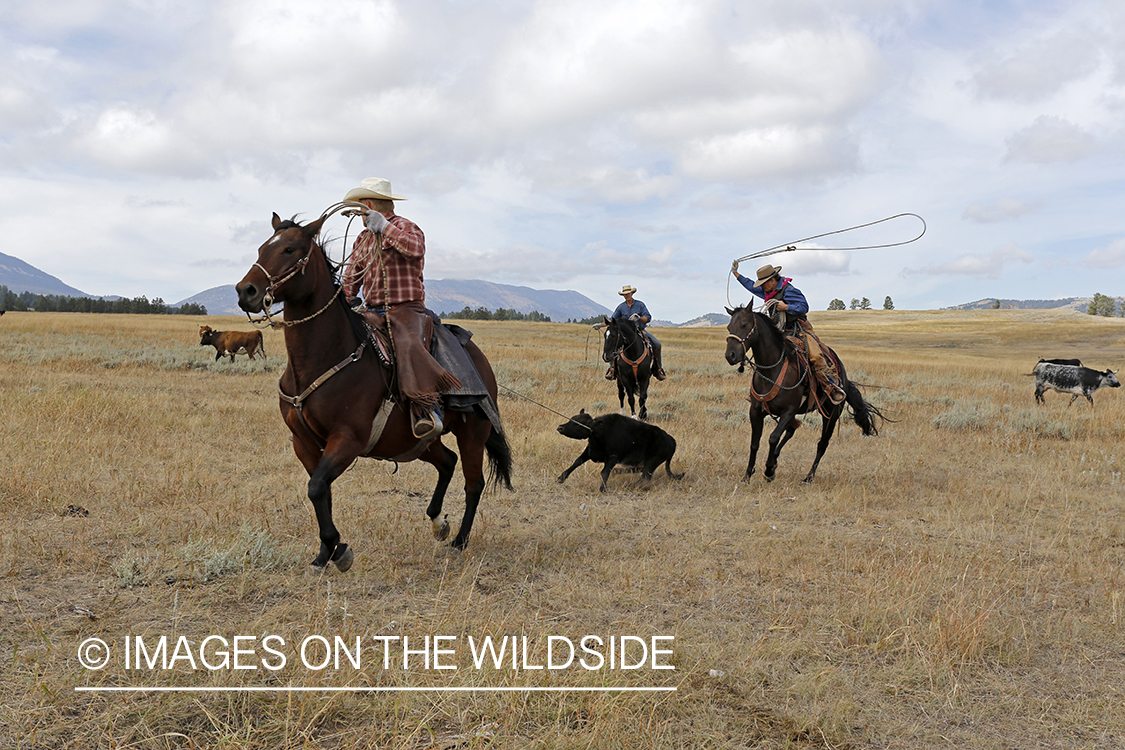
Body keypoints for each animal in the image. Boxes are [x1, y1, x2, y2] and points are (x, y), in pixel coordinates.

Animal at [241, 211, 515, 568]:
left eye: (290, 249)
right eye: (262, 247)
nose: (245, 290)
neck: (322, 357)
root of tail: (476, 355)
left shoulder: (348, 439)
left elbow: (316, 487)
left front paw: (338, 550)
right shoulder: (303, 442)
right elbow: (320, 491)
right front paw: (325, 553)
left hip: (473, 432)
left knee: (473, 483)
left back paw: (459, 541)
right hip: (415, 442)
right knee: (447, 462)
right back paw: (438, 522)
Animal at [720, 305, 886, 488]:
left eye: (744, 325)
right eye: (729, 327)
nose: (731, 355)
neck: (771, 371)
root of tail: (844, 380)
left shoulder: (788, 411)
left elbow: (773, 438)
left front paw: (768, 471)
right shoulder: (756, 411)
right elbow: (754, 443)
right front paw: (748, 476)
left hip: (831, 415)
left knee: (822, 444)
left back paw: (808, 477)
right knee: (792, 431)